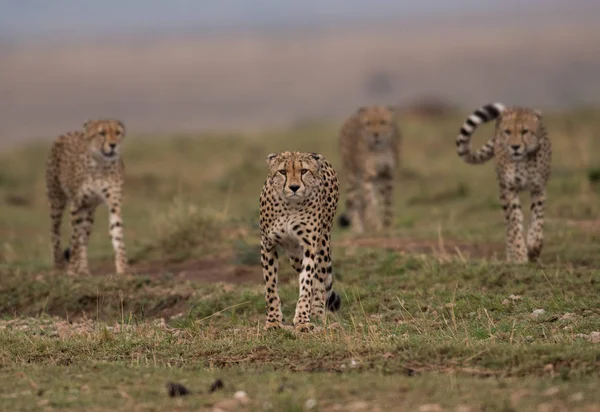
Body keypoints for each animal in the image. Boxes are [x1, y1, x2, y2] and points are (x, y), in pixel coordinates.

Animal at [47, 117, 130, 276]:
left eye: (117, 132)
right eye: (102, 133)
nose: (113, 145)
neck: (101, 164)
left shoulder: (113, 204)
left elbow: (117, 232)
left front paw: (123, 268)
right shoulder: (76, 204)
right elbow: (74, 238)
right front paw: (72, 270)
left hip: (89, 211)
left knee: (84, 237)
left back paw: (84, 270)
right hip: (56, 199)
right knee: (55, 232)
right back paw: (59, 266)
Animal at [258, 151, 342, 332]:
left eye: (303, 171)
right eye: (283, 172)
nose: (294, 187)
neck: (290, 205)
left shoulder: (309, 247)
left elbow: (307, 283)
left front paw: (303, 320)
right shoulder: (267, 245)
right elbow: (271, 287)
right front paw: (273, 320)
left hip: (322, 245)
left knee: (319, 280)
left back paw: (317, 313)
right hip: (294, 256)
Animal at [336, 104, 400, 233]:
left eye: (383, 122)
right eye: (368, 123)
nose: (376, 135)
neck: (380, 150)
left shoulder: (387, 174)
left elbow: (387, 201)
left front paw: (388, 225)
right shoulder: (368, 175)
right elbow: (371, 201)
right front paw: (376, 224)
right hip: (352, 176)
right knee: (354, 202)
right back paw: (357, 228)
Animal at [454, 104, 552, 262]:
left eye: (525, 131)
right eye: (507, 132)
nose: (515, 147)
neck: (524, 159)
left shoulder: (539, 188)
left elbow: (537, 218)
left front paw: (534, 246)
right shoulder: (509, 189)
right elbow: (514, 222)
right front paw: (519, 254)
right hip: (502, 190)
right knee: (508, 224)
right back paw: (511, 254)